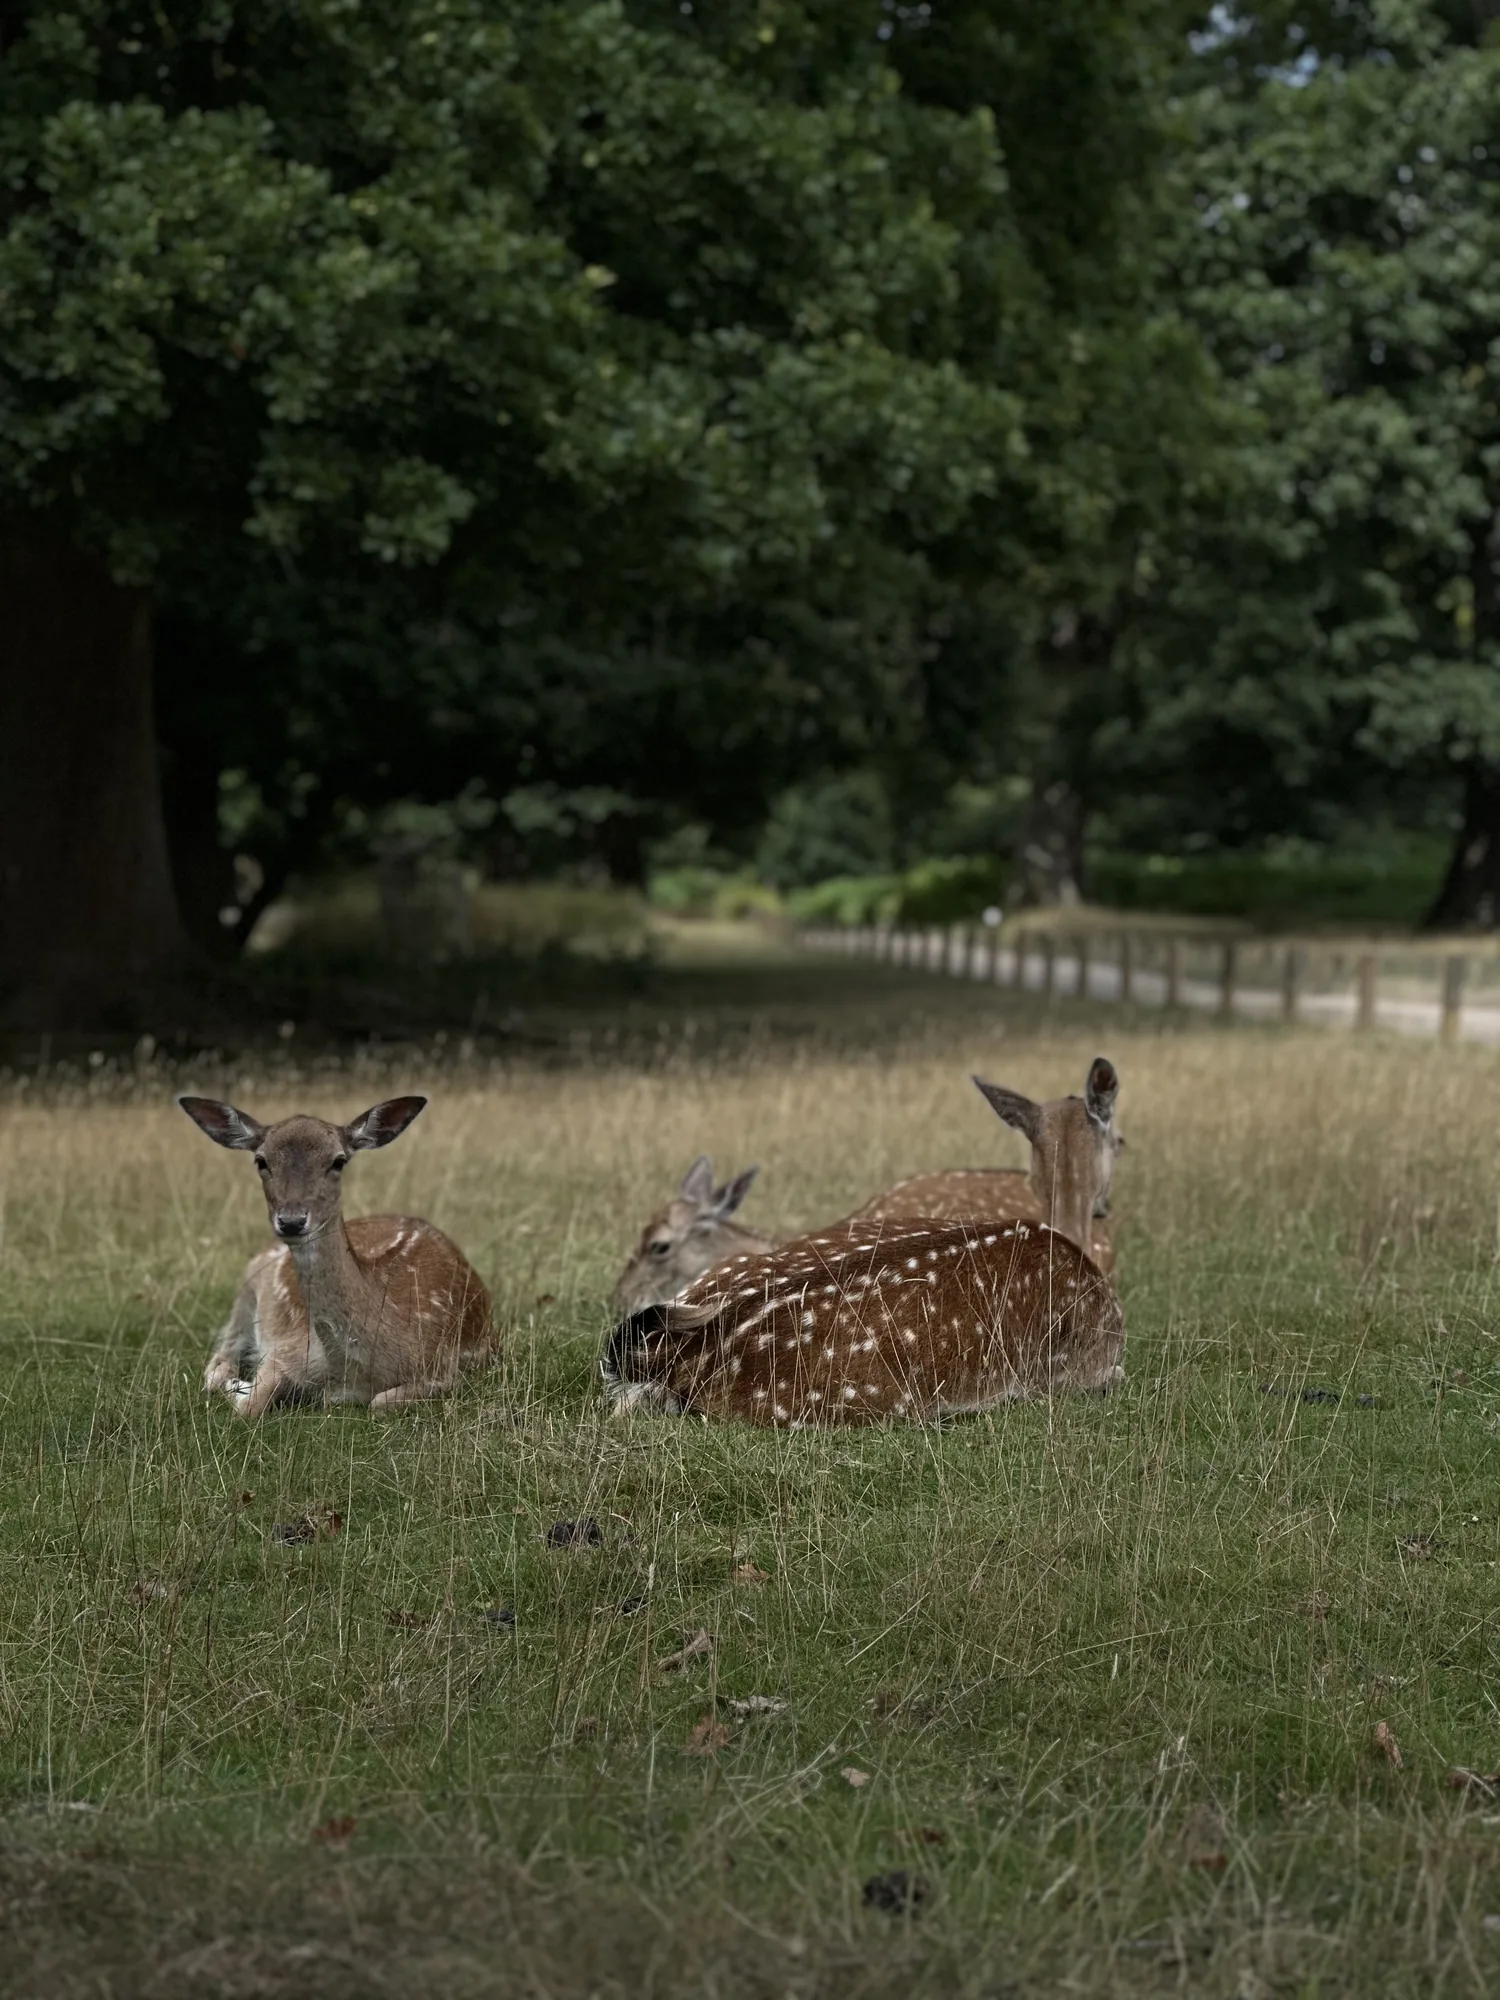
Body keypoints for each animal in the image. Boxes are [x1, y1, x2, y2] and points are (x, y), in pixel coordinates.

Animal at [179, 1094, 495, 1417]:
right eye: (261, 1161)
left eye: (338, 1161)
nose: (291, 1221)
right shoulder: (288, 1349)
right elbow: (249, 1407)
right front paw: (244, 1390)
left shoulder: (445, 1367)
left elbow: (380, 1402)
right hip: (247, 1285)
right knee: (219, 1359)